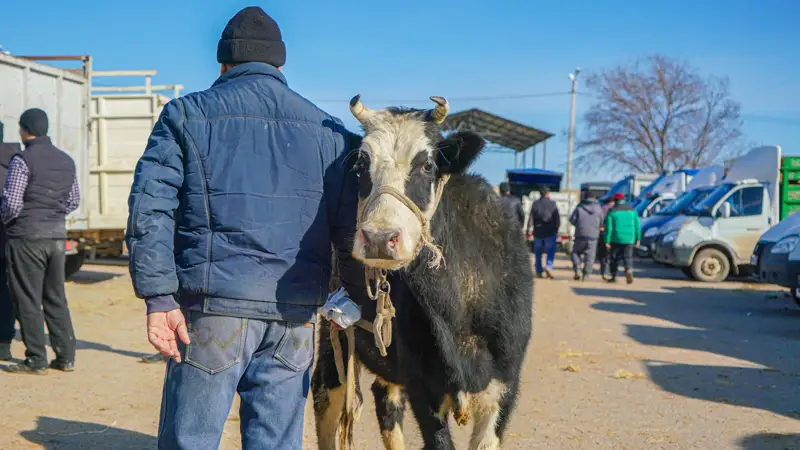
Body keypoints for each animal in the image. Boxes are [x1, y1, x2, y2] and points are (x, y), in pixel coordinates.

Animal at [312, 95, 534, 450]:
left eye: (427, 165)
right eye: (361, 165)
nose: (379, 238)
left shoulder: (504, 385)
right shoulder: (423, 388)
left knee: (386, 401)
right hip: (335, 334)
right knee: (326, 396)